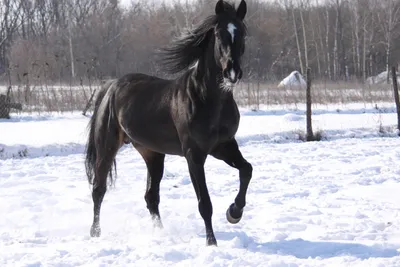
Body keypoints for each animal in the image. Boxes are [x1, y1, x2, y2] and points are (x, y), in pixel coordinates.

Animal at [85, 0, 253, 247]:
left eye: (242, 32)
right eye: (219, 33)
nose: (232, 71)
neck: (208, 99)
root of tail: (111, 86)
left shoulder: (224, 146)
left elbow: (247, 170)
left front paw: (234, 213)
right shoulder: (194, 154)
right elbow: (205, 203)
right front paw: (211, 243)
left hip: (153, 154)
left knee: (150, 196)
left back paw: (160, 233)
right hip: (107, 147)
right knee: (99, 189)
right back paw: (95, 232)